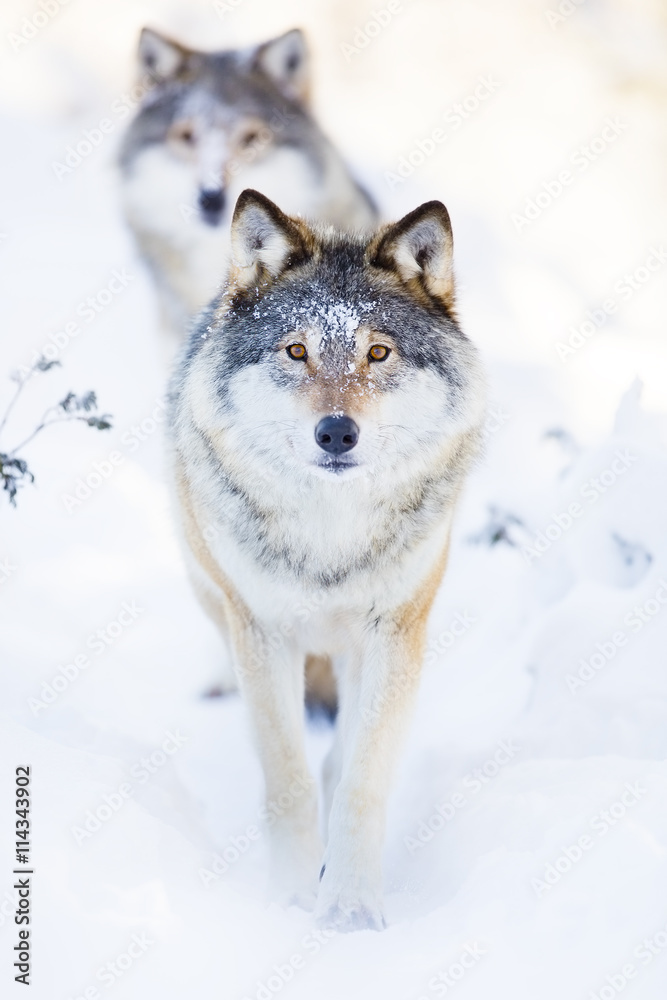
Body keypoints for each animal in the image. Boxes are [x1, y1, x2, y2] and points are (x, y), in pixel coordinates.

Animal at [168, 189, 486, 931]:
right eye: (296, 350)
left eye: (377, 352)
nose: (336, 432)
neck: (330, 536)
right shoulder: (262, 633)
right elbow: (286, 778)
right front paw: (289, 900)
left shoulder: (395, 633)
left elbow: (359, 778)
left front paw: (348, 909)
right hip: (215, 598)